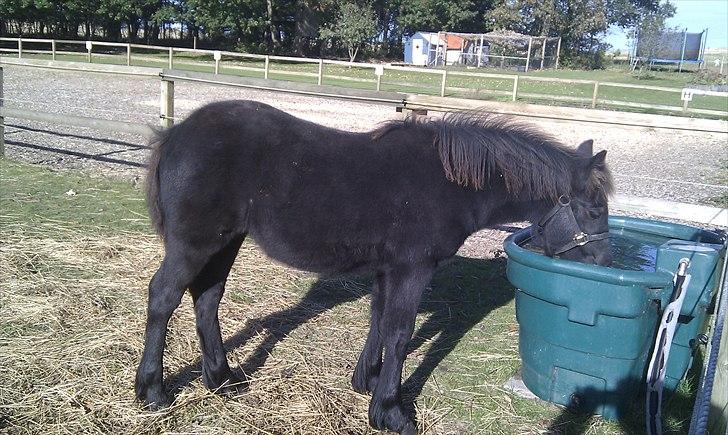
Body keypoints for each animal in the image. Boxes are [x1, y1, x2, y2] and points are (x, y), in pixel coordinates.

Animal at [135, 100, 614, 434]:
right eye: (594, 210)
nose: (606, 261)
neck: (449, 183)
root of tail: (177, 133)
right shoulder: (413, 269)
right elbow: (400, 333)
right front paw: (390, 412)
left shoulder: (388, 268)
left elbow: (379, 322)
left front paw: (366, 382)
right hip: (194, 244)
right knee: (164, 297)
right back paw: (153, 390)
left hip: (226, 242)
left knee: (207, 298)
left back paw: (221, 380)